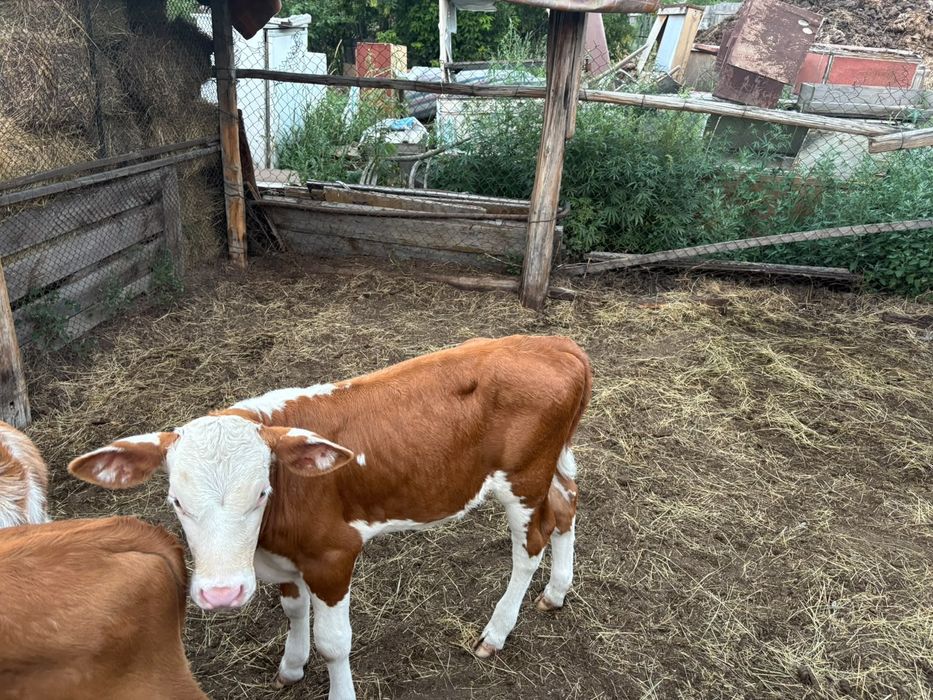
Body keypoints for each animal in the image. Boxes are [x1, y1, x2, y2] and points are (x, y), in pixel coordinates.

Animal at [68, 335, 592, 700]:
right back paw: (557, 591)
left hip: (524, 478)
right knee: (567, 503)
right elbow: (294, 611)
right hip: (551, 465)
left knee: (530, 544)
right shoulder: (286, 559)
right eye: (176, 501)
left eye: (261, 492)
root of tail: (556, 344)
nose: (222, 594)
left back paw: (496, 632)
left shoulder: (333, 555)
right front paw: (291, 666)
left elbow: (334, 642)